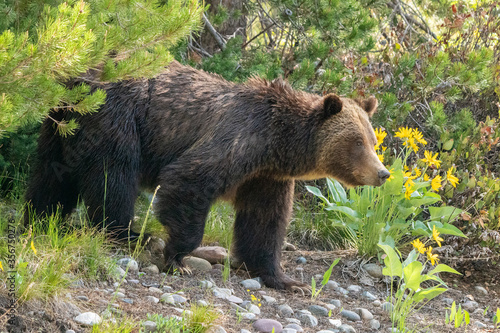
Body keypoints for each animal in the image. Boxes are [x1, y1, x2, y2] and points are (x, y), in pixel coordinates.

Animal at [24, 61, 390, 290]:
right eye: (357, 142)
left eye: (372, 140)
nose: (383, 173)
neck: (276, 144)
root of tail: (78, 77)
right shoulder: (237, 139)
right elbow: (188, 180)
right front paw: (178, 258)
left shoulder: (265, 177)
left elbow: (264, 221)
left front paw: (285, 279)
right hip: (117, 118)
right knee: (113, 176)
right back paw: (129, 233)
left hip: (62, 127)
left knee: (51, 176)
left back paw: (41, 216)